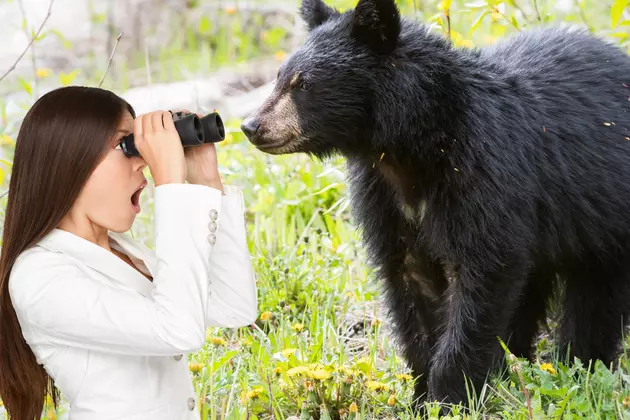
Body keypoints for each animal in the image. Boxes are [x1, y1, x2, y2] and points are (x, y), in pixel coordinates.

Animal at [239, 0, 630, 410]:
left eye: (304, 84)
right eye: (279, 77)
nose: (251, 126)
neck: (411, 151)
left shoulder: (485, 174)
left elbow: (483, 272)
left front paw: (451, 396)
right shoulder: (383, 198)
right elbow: (412, 280)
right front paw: (423, 395)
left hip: (606, 213)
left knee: (596, 297)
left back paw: (580, 364)